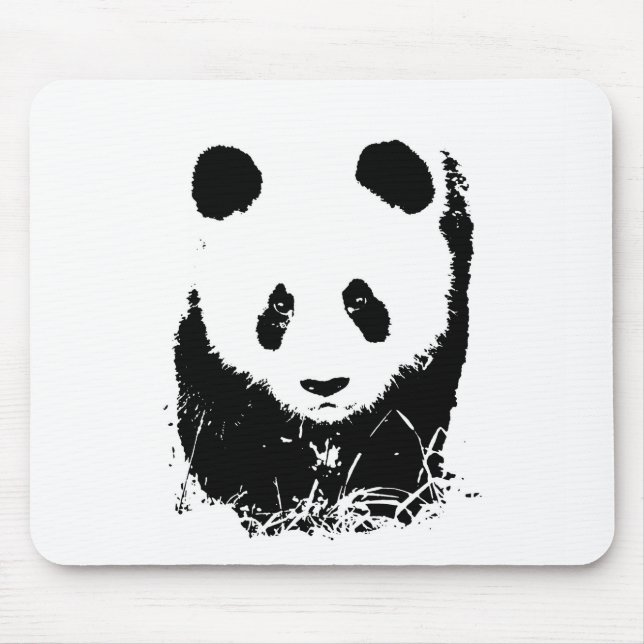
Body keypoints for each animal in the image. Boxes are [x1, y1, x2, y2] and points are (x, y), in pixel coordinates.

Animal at [174, 140, 473, 535]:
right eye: (280, 305)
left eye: (359, 299)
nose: (325, 385)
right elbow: (219, 411)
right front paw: (273, 505)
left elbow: (408, 412)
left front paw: (378, 503)